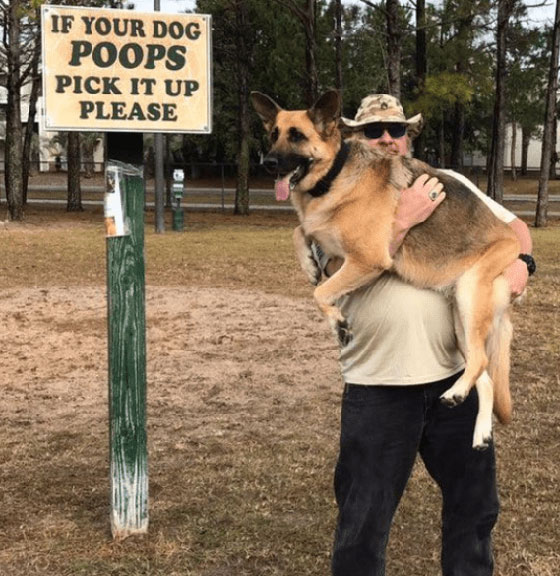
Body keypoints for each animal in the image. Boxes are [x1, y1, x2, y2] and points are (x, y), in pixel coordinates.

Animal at [250, 91, 520, 450]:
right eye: (273, 135)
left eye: (296, 136)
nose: (267, 163)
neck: (333, 176)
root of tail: (512, 241)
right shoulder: (336, 252)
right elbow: (300, 231)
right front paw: (308, 263)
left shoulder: (368, 259)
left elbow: (320, 293)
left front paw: (338, 323)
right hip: (461, 322)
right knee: (485, 377)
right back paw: (479, 431)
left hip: (470, 295)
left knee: (480, 362)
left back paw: (455, 393)